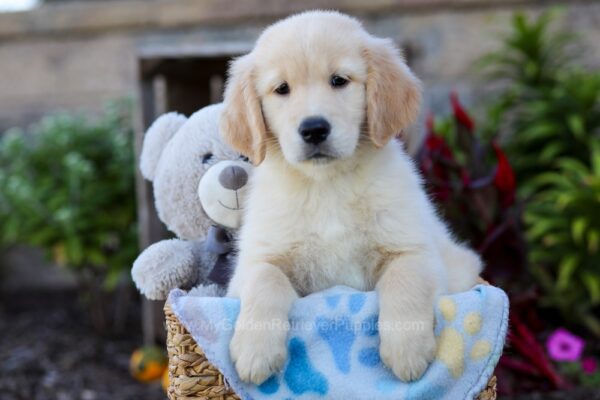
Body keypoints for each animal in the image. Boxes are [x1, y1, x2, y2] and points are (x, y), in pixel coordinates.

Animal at [220, 10, 482, 386]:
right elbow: (264, 280)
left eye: (339, 80)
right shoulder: (256, 261)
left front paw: (407, 350)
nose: (314, 129)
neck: (327, 185)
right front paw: (255, 351)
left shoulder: (415, 251)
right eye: (281, 89)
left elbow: (405, 280)